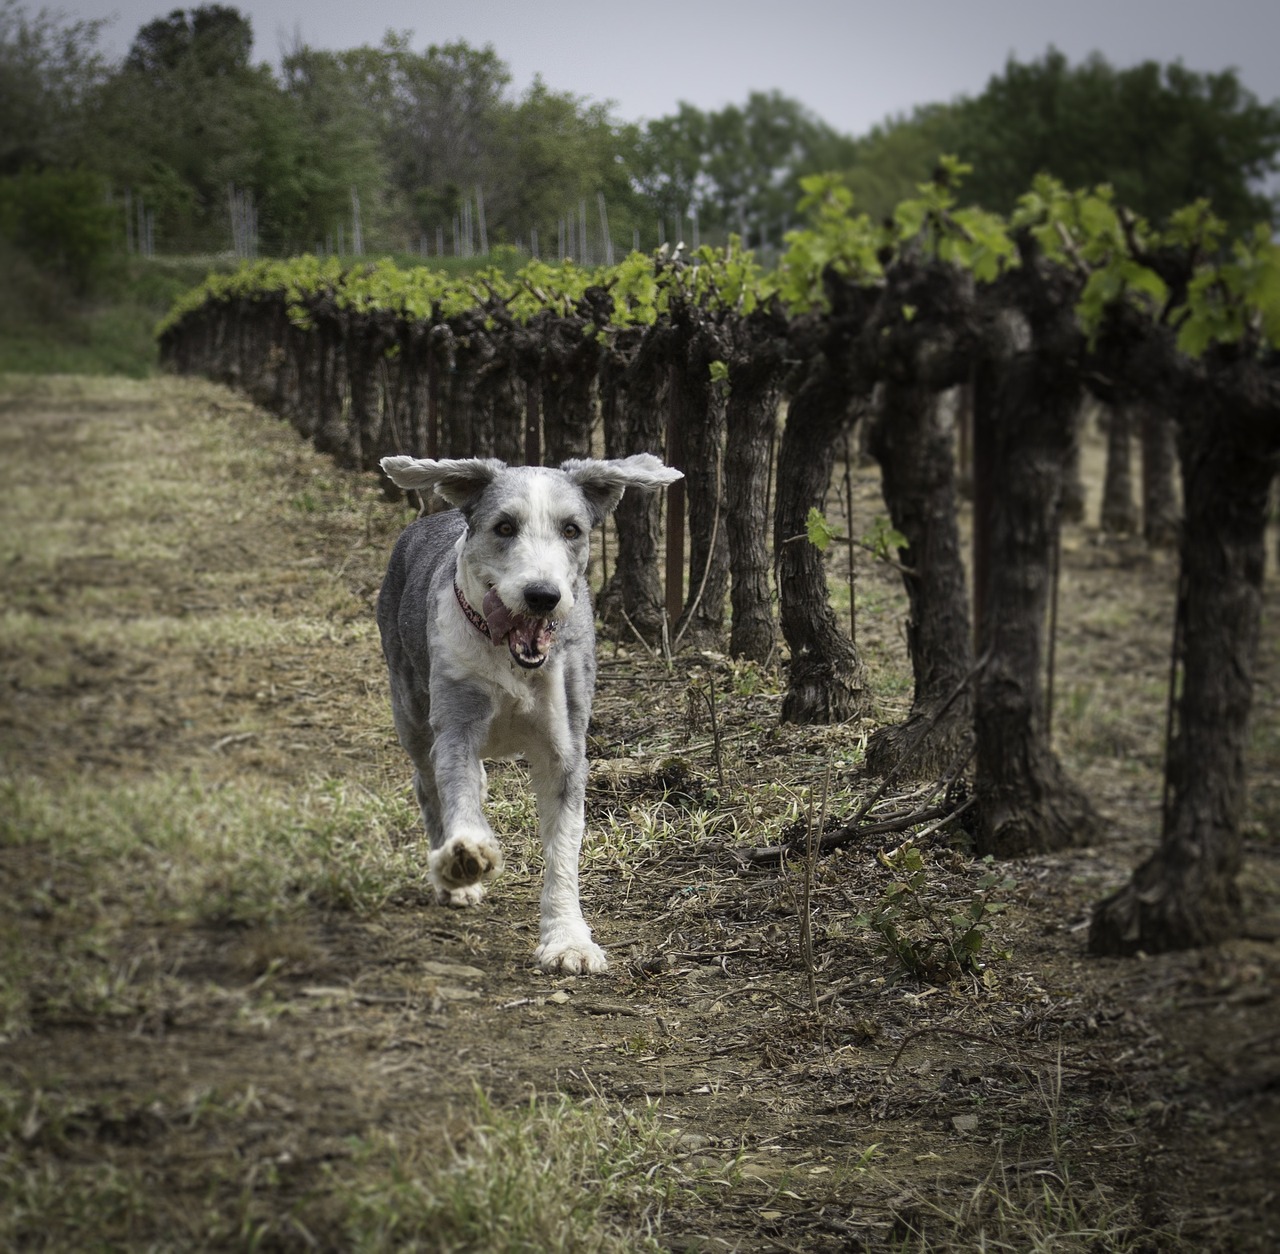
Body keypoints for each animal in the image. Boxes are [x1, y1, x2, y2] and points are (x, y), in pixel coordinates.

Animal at [376, 455, 686, 972]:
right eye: (504, 526)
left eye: (571, 529)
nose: (542, 595)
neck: (509, 658)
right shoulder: (456, 725)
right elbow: (456, 789)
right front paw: (466, 853)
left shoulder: (565, 746)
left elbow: (563, 849)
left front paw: (568, 941)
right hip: (410, 707)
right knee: (427, 783)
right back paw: (454, 876)